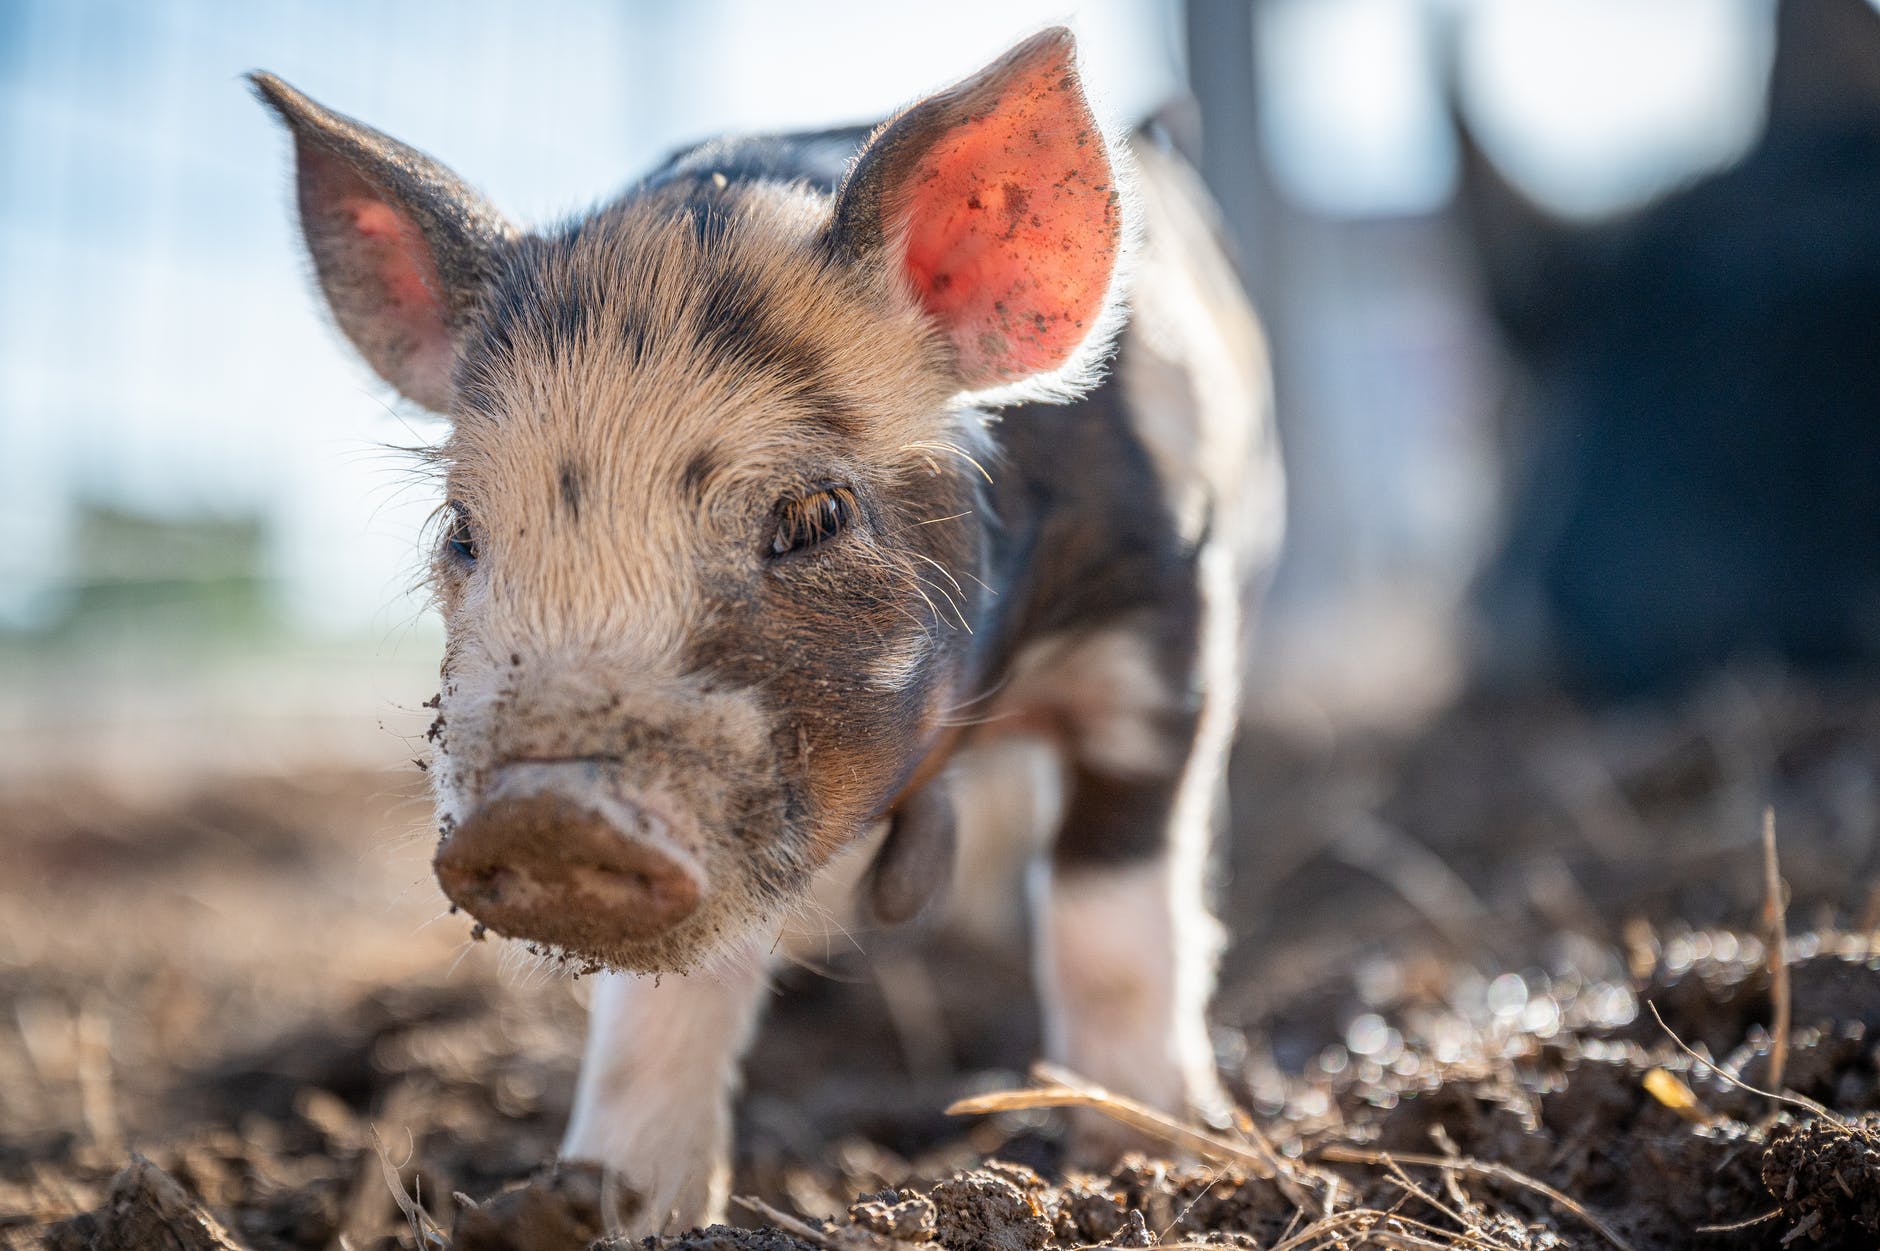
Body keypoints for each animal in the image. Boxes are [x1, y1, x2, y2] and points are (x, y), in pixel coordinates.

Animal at [252, 28, 1281, 1237]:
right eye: (463, 531)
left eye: (813, 515)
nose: (550, 812)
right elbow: (665, 1002)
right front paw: (602, 1205)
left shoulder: (1159, 643)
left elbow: (1114, 919)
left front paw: (1137, 1156)